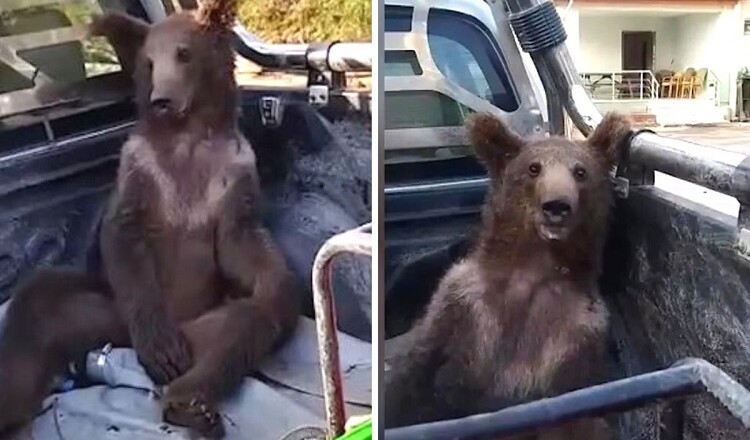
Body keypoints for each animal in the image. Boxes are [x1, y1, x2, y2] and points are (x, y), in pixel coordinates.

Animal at [0, 2, 298, 438]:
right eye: (148, 62)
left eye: (184, 53)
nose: (162, 100)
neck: (187, 138)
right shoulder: (141, 170)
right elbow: (125, 237)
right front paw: (160, 344)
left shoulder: (232, 173)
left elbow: (240, 244)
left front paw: (274, 276)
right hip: (106, 312)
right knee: (37, 310)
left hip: (209, 325)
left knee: (242, 328)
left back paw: (190, 403)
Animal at [383, 111, 632, 439]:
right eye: (533, 168)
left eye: (581, 171)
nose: (556, 206)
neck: (532, 272)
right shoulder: (460, 306)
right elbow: (412, 383)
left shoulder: (577, 334)